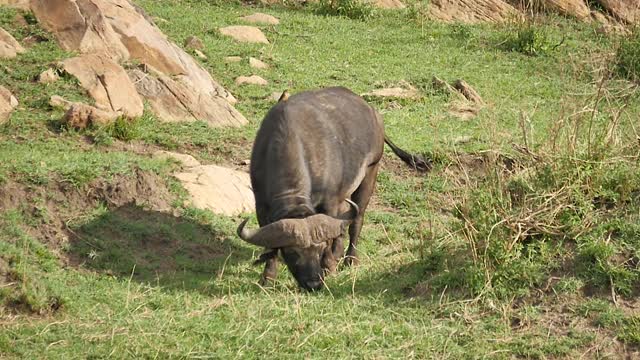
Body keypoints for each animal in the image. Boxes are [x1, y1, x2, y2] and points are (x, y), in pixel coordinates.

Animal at [236, 86, 430, 290]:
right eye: (292, 252)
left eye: (320, 248)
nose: (313, 283)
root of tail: (373, 113)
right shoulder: (261, 206)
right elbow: (270, 245)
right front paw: (267, 278)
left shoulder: (329, 201)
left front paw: (329, 266)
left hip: (371, 171)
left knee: (356, 220)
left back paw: (350, 259)